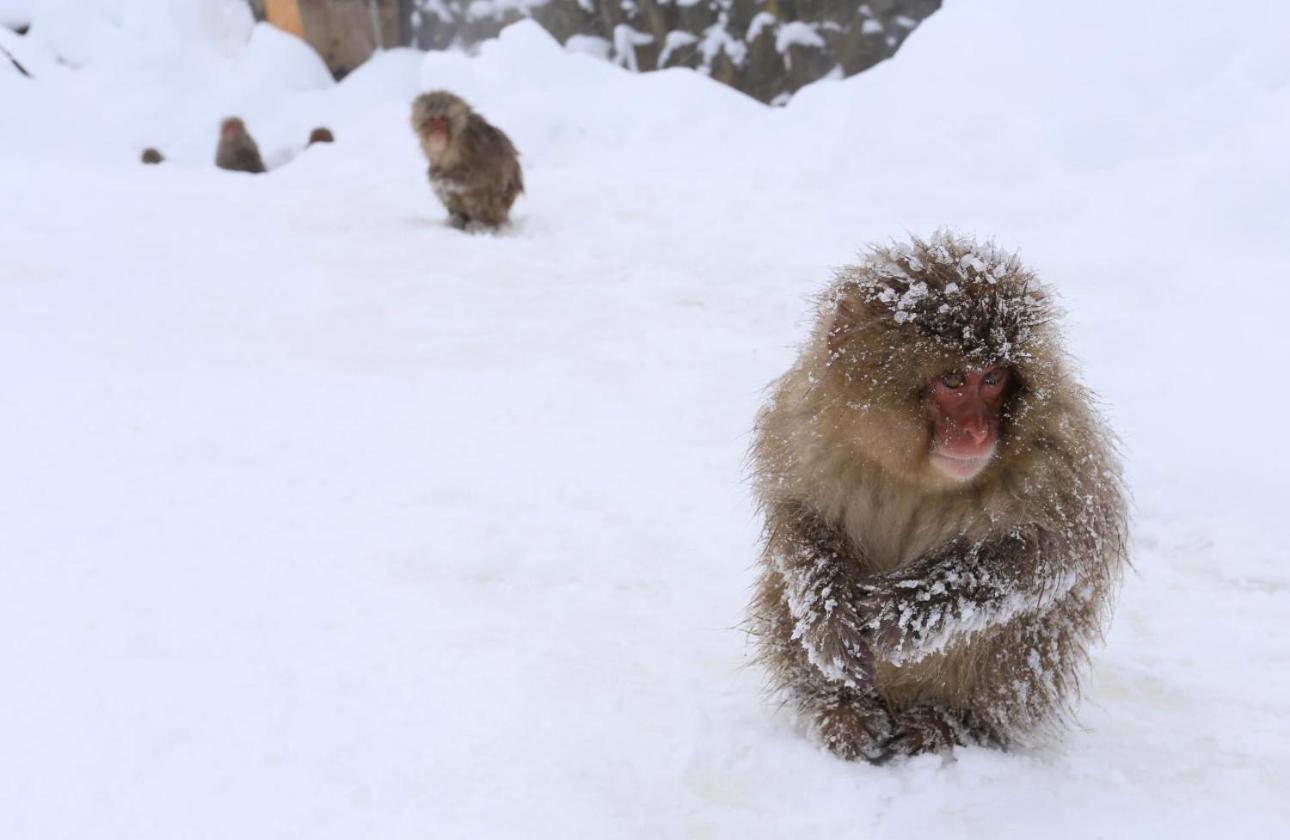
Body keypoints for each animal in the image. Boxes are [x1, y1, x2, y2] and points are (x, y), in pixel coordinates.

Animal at [407, 89, 518, 229]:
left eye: (442, 120)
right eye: (432, 120)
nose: (437, 131)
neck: (452, 140)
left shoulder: (475, 142)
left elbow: (483, 175)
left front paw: (446, 180)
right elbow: (436, 170)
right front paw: (437, 174)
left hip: (498, 209)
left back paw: (482, 225)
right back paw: (458, 219)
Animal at [753, 228, 1124, 763]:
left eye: (993, 379)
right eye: (952, 380)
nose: (976, 432)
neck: (913, 471)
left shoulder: (1059, 452)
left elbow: (1056, 554)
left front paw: (906, 611)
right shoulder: (803, 422)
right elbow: (797, 519)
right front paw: (826, 614)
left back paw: (948, 724)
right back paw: (842, 710)